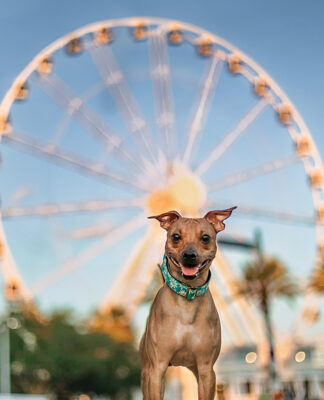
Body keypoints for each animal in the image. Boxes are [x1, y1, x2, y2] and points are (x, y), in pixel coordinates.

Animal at [139, 208, 235, 398]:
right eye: (176, 236)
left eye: (205, 237)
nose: (189, 255)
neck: (187, 296)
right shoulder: (157, 369)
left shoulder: (206, 370)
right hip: (147, 375)